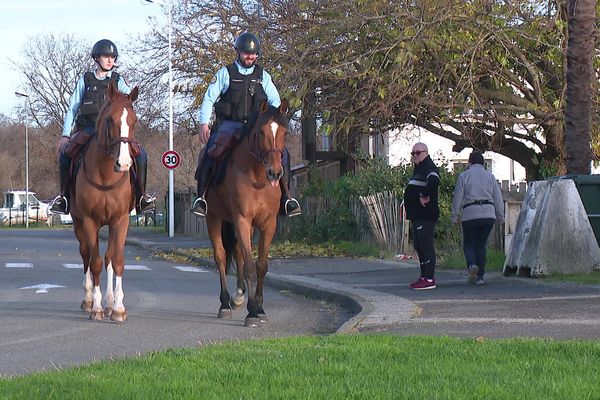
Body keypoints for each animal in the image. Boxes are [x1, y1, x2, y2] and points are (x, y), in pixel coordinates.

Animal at [71, 85, 139, 322]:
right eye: (110, 120)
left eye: (134, 120)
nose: (124, 163)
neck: (107, 174)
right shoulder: (89, 221)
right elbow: (96, 262)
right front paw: (97, 308)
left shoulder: (120, 220)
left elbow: (116, 260)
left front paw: (117, 307)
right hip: (79, 224)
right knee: (86, 255)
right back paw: (89, 299)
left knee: (108, 257)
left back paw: (110, 301)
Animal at [206, 100, 290, 328]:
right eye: (261, 132)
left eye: (285, 133)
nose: (275, 172)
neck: (258, 177)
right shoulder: (242, 220)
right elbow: (251, 267)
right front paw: (252, 312)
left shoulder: (268, 224)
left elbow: (261, 265)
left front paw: (259, 309)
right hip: (213, 217)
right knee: (221, 257)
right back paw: (225, 304)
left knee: (238, 253)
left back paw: (238, 297)